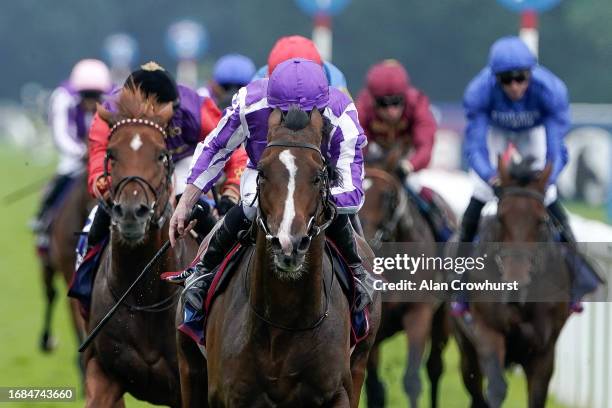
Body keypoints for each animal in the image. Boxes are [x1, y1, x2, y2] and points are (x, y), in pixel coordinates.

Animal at [358, 167, 450, 408]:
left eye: (388, 197)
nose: (367, 241)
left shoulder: (418, 312)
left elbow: (412, 380)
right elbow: (374, 388)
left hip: (443, 318)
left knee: (435, 367)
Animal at [452, 157, 572, 408]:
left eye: (541, 220)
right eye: (501, 217)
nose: (515, 281)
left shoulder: (544, 351)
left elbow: (537, 396)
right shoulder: (487, 332)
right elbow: (496, 389)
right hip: (465, 347)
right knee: (475, 390)